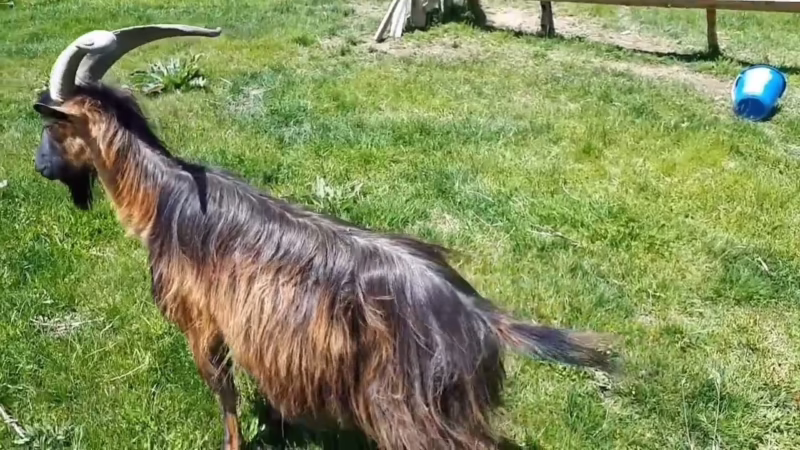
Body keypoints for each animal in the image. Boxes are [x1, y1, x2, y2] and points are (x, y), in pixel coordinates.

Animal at [31, 24, 619, 450]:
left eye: (53, 125)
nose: (40, 168)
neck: (165, 196)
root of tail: (479, 314)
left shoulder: (202, 321)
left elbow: (225, 397)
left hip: (409, 409)